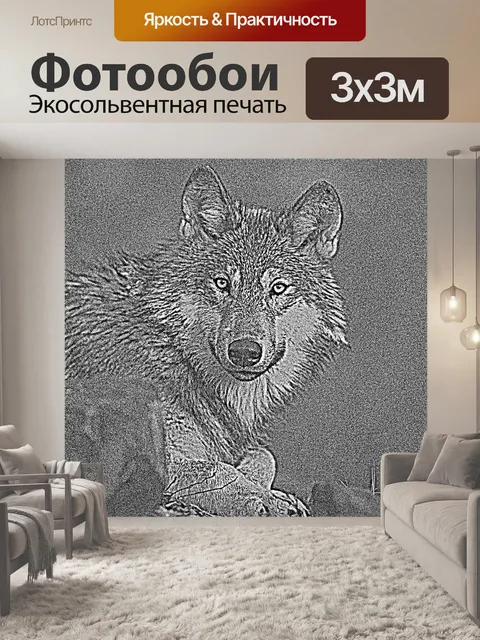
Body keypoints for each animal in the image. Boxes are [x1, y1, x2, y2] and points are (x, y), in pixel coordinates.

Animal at [65, 165, 347, 516]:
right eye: (223, 283)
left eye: (278, 288)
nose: (244, 352)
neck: (171, 347)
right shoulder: (142, 458)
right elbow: (217, 469)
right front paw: (264, 499)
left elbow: (263, 456)